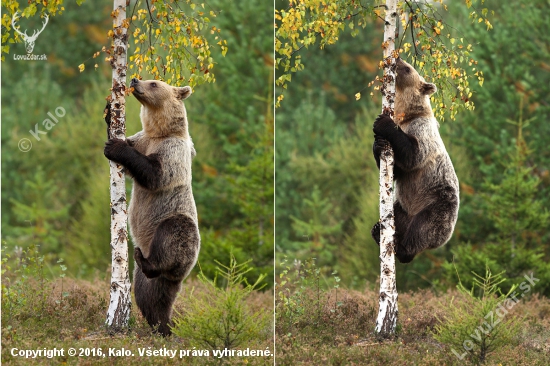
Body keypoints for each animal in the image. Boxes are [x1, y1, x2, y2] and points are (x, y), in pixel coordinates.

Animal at [103, 78, 201, 336]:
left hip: (177, 229)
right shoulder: (142, 139)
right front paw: (109, 112)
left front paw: (114, 146)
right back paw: (162, 326)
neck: (159, 132)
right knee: (150, 298)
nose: (135, 80)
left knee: (174, 235)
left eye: (155, 83)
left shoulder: (172, 152)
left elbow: (155, 173)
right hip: (149, 282)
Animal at [374, 57, 460, 264]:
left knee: (422, 229)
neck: (407, 116)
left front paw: (382, 122)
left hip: (437, 204)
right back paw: (377, 230)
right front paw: (378, 144)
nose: (396, 58)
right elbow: (397, 171)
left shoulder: (422, 131)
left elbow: (413, 155)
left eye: (407, 68)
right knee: (395, 216)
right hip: (401, 206)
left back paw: (404, 250)